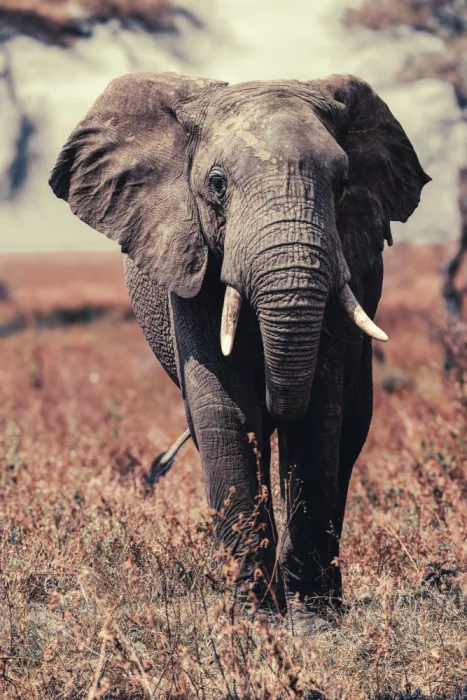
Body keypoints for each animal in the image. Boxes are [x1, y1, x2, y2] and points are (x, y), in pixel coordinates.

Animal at [49, 71, 430, 619]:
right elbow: (226, 411)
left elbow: (318, 413)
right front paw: (257, 623)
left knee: (351, 429)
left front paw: (313, 622)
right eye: (216, 184)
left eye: (342, 185)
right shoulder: (188, 263)